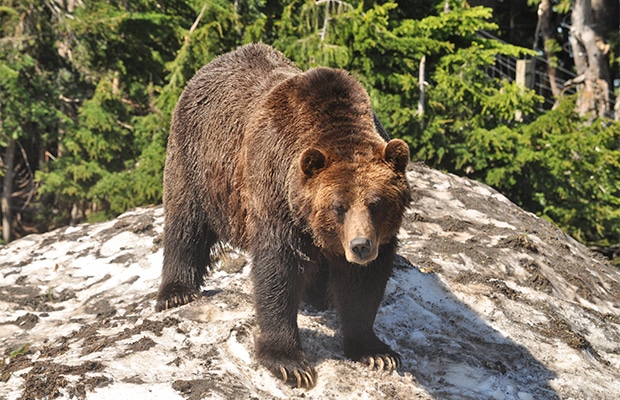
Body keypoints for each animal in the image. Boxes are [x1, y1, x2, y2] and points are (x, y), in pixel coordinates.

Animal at [157, 43, 412, 388]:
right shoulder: (275, 196)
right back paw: (176, 292)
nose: (360, 246)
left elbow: (364, 285)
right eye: (339, 206)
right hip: (195, 158)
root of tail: (212, 64)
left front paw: (376, 352)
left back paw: (320, 296)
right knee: (185, 220)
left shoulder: (376, 236)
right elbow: (278, 273)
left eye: (376, 203)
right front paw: (290, 363)